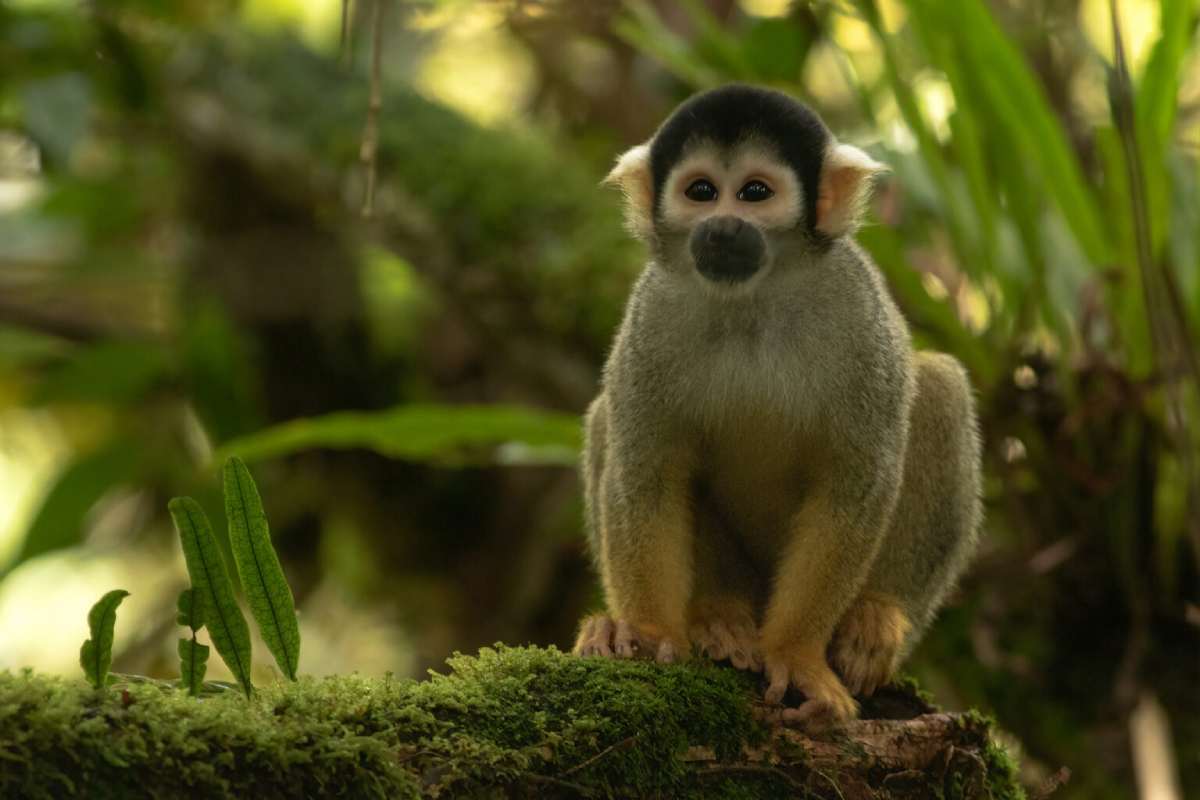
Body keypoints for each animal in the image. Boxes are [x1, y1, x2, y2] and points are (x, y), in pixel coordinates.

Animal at [573, 84, 982, 727]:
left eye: (755, 193)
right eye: (701, 191)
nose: (721, 227)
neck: (752, 299)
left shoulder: (857, 313)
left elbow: (853, 483)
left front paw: (796, 656)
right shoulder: (651, 315)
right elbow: (645, 475)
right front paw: (646, 633)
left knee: (940, 387)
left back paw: (875, 616)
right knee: (604, 419)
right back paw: (716, 615)